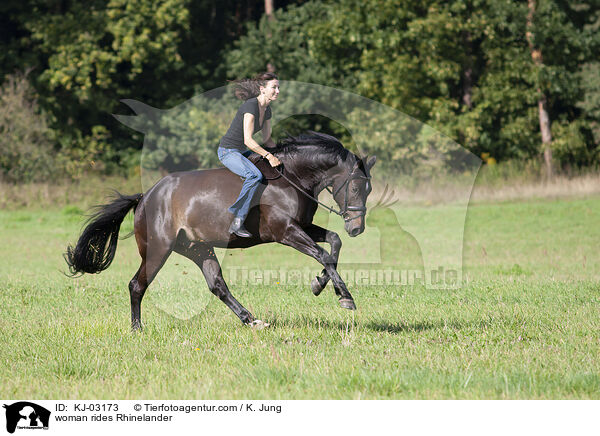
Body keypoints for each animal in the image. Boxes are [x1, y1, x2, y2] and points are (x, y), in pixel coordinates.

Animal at [64, 133, 376, 330]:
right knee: (136, 285)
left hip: (198, 248)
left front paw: (320, 284)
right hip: (158, 250)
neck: (292, 178)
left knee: (217, 286)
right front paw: (345, 297)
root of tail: (145, 197)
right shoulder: (286, 232)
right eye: (356, 187)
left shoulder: (303, 226)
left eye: (369, 189)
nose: (357, 228)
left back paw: (252, 320)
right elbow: (323, 254)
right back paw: (137, 329)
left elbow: (333, 244)